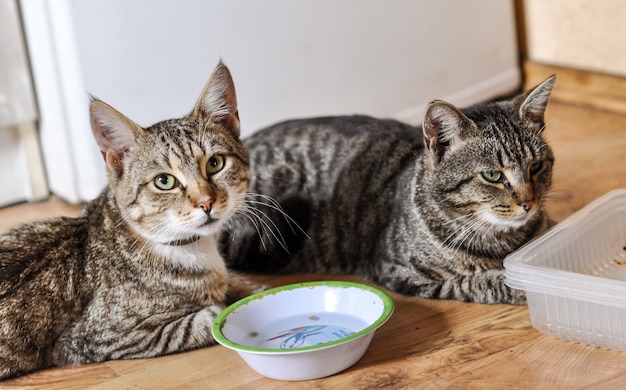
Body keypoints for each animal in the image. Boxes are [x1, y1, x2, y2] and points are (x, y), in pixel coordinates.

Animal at [0, 62, 260, 380]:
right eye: (164, 181)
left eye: (215, 164)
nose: (206, 202)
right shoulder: (93, 340)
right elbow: (203, 320)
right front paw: (222, 306)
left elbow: (243, 284)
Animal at [222, 75, 552, 304]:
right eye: (493, 175)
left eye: (536, 166)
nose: (529, 201)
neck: (502, 241)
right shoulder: (401, 272)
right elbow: (484, 281)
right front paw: (522, 286)